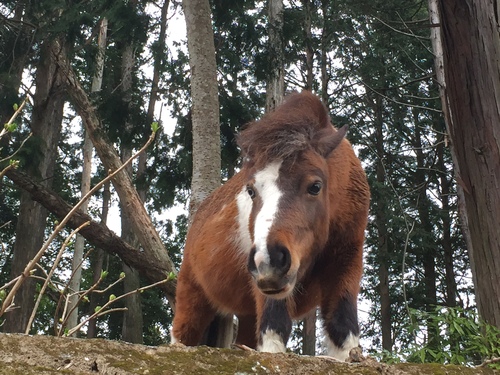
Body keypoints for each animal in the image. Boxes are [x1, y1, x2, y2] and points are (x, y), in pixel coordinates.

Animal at [172, 91, 372, 362]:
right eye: (251, 190)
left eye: (315, 186)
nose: (269, 260)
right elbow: (275, 333)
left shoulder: (347, 261)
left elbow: (342, 330)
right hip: (191, 298)